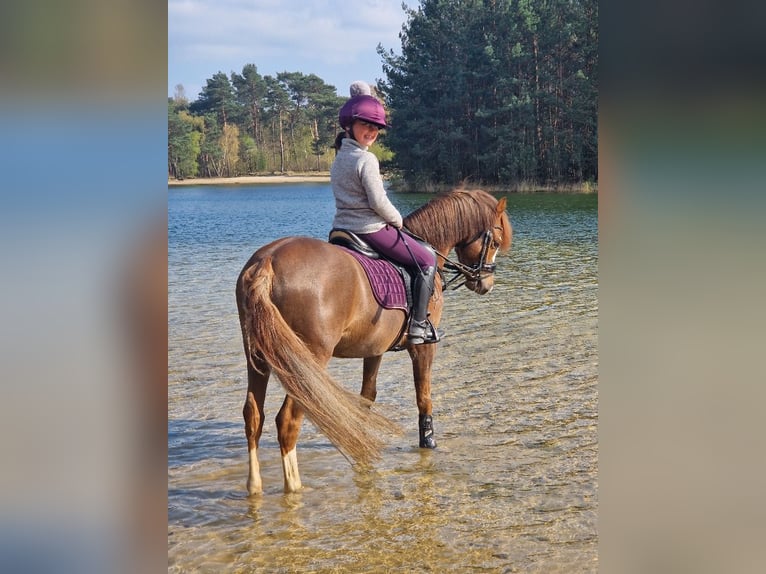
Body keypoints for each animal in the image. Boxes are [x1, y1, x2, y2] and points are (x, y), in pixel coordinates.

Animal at [235, 188, 512, 494]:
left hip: (258, 357)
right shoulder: (424, 346)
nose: (486, 284)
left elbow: (367, 396)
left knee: (253, 416)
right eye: (495, 241)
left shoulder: (374, 348)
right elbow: (424, 396)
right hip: (306, 362)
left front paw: (363, 439)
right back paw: (294, 486)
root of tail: (268, 261)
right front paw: (428, 441)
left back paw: (254, 486)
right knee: (288, 421)